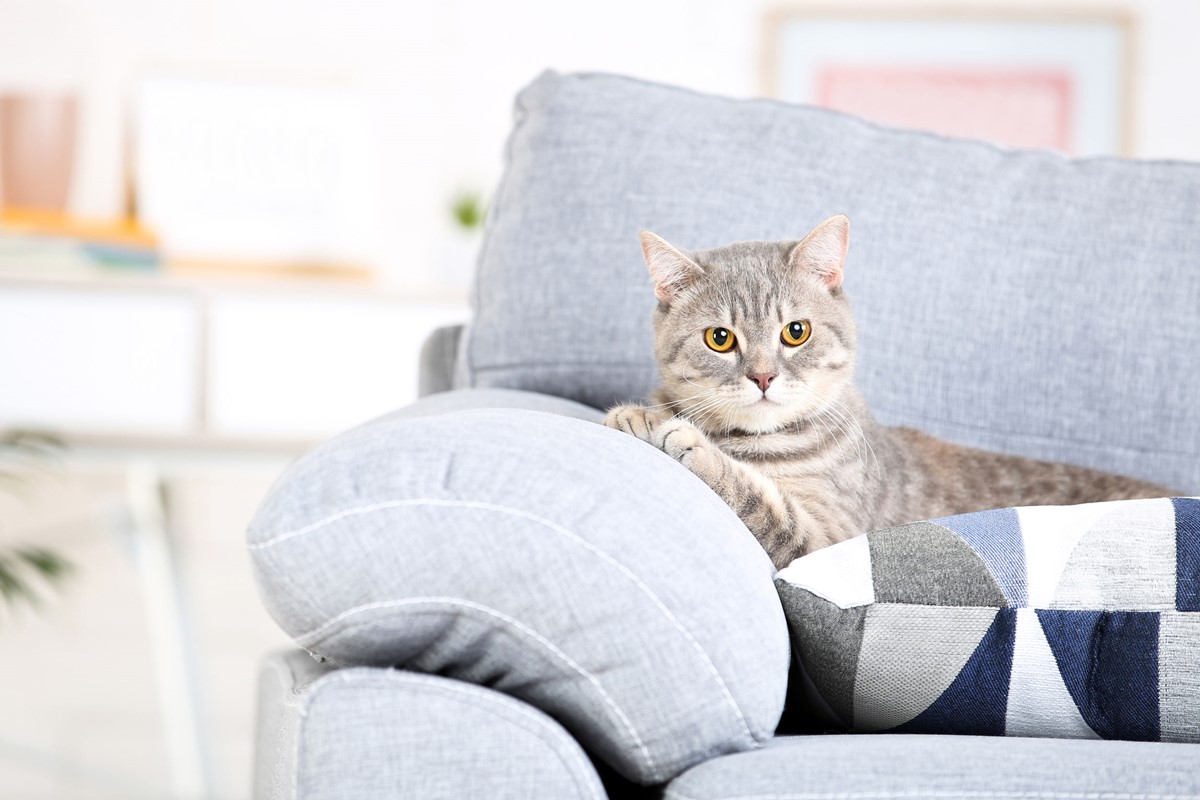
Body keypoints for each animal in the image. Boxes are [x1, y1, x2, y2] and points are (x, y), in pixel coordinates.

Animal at [604, 215, 1166, 573]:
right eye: (720, 339)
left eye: (796, 332)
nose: (763, 377)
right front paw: (638, 416)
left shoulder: (827, 540)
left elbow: (763, 504)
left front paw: (688, 441)